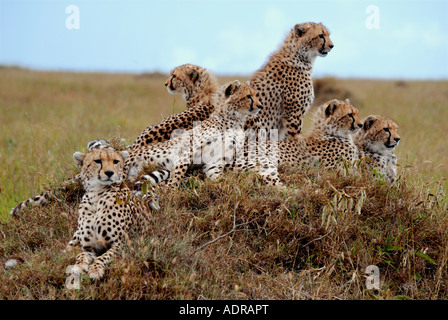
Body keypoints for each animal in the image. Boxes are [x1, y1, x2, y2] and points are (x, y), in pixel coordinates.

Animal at [65, 146, 151, 278]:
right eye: (97, 161)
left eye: (115, 161)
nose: (110, 172)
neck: (96, 196)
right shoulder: (89, 247)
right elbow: (81, 255)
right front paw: (78, 267)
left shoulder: (123, 243)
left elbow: (104, 256)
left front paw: (95, 270)